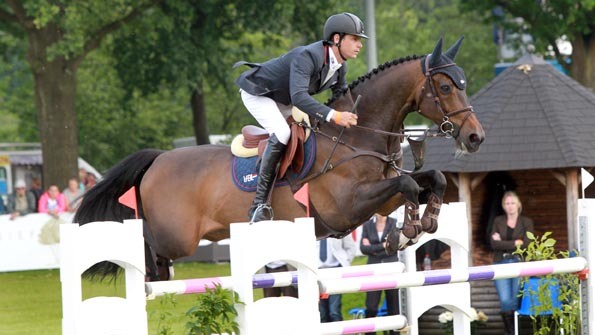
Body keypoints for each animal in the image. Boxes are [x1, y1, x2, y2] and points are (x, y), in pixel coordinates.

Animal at [74, 36, 484, 280]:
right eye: (445, 86)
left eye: (463, 83)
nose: (475, 137)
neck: (356, 135)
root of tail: (158, 160)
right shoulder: (346, 207)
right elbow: (409, 182)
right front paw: (409, 230)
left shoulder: (380, 201)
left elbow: (430, 179)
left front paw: (421, 223)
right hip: (177, 238)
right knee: (149, 247)